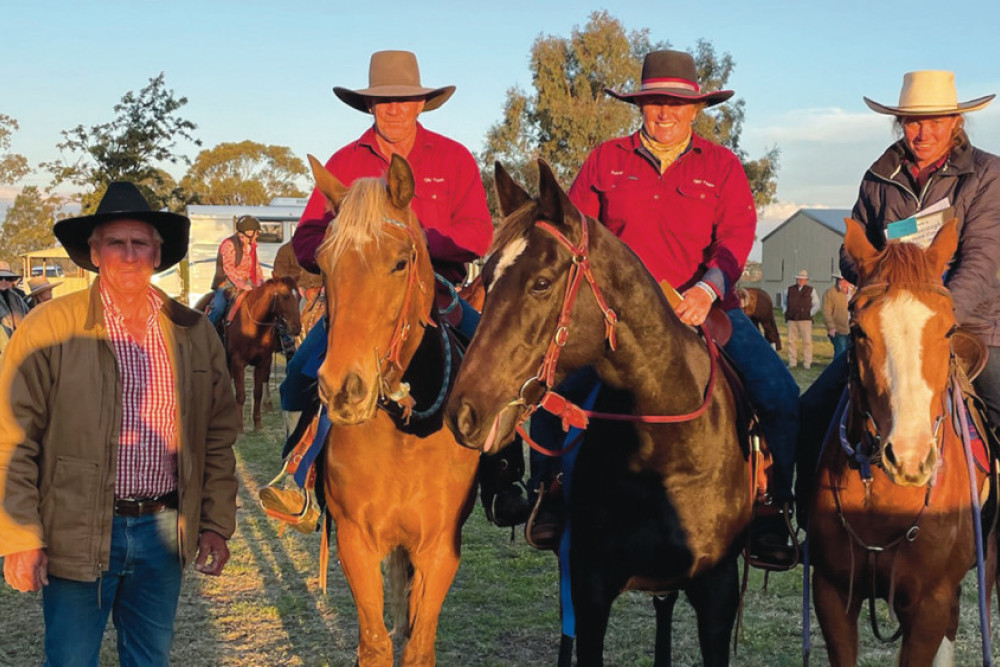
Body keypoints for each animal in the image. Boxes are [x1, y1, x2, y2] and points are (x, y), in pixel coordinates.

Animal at [306, 154, 478, 664]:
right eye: (323, 263)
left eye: (400, 262)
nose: (342, 389)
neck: (406, 437)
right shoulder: (355, 542)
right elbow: (376, 644)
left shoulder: (440, 549)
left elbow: (418, 646)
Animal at [446, 162, 752, 667]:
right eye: (485, 279)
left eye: (542, 282)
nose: (464, 412)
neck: (669, 447)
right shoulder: (588, 587)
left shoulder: (718, 591)